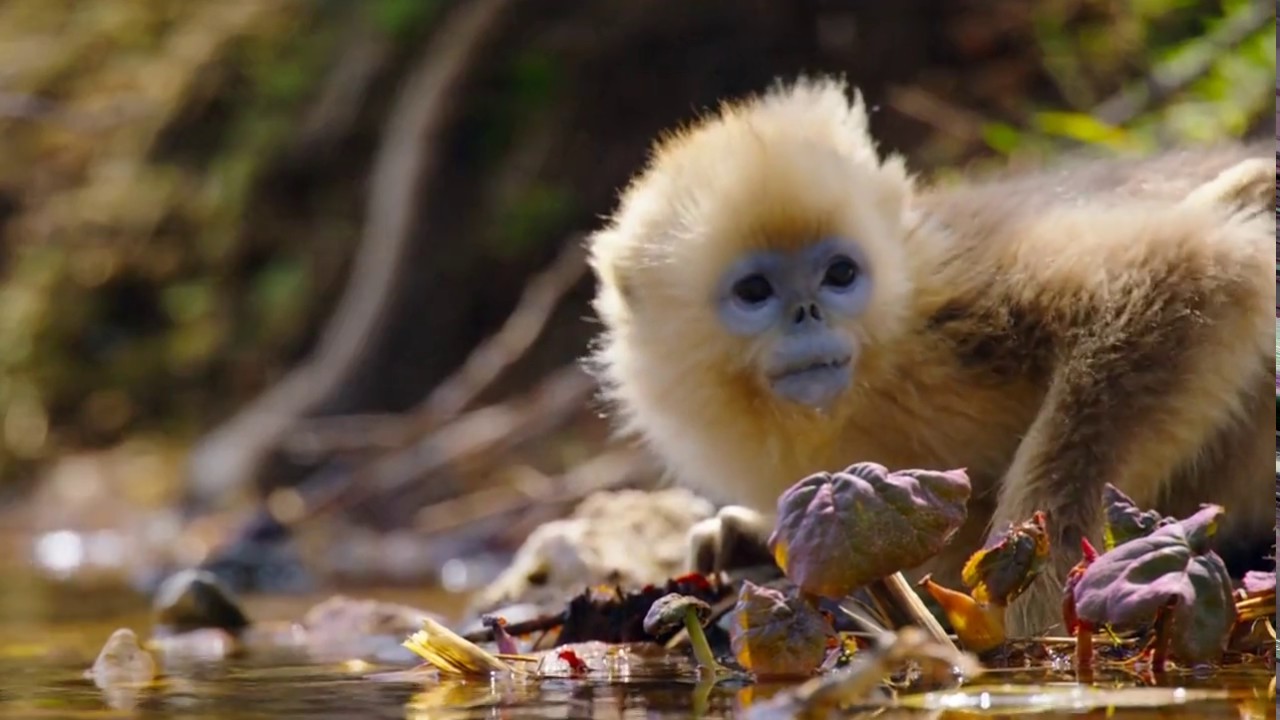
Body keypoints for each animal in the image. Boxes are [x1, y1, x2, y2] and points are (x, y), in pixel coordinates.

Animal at [583, 76, 1276, 637]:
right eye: (755, 291)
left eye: (840, 274)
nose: (808, 313)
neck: (882, 367)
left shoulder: (963, 301)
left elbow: (1189, 270)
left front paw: (1029, 611)